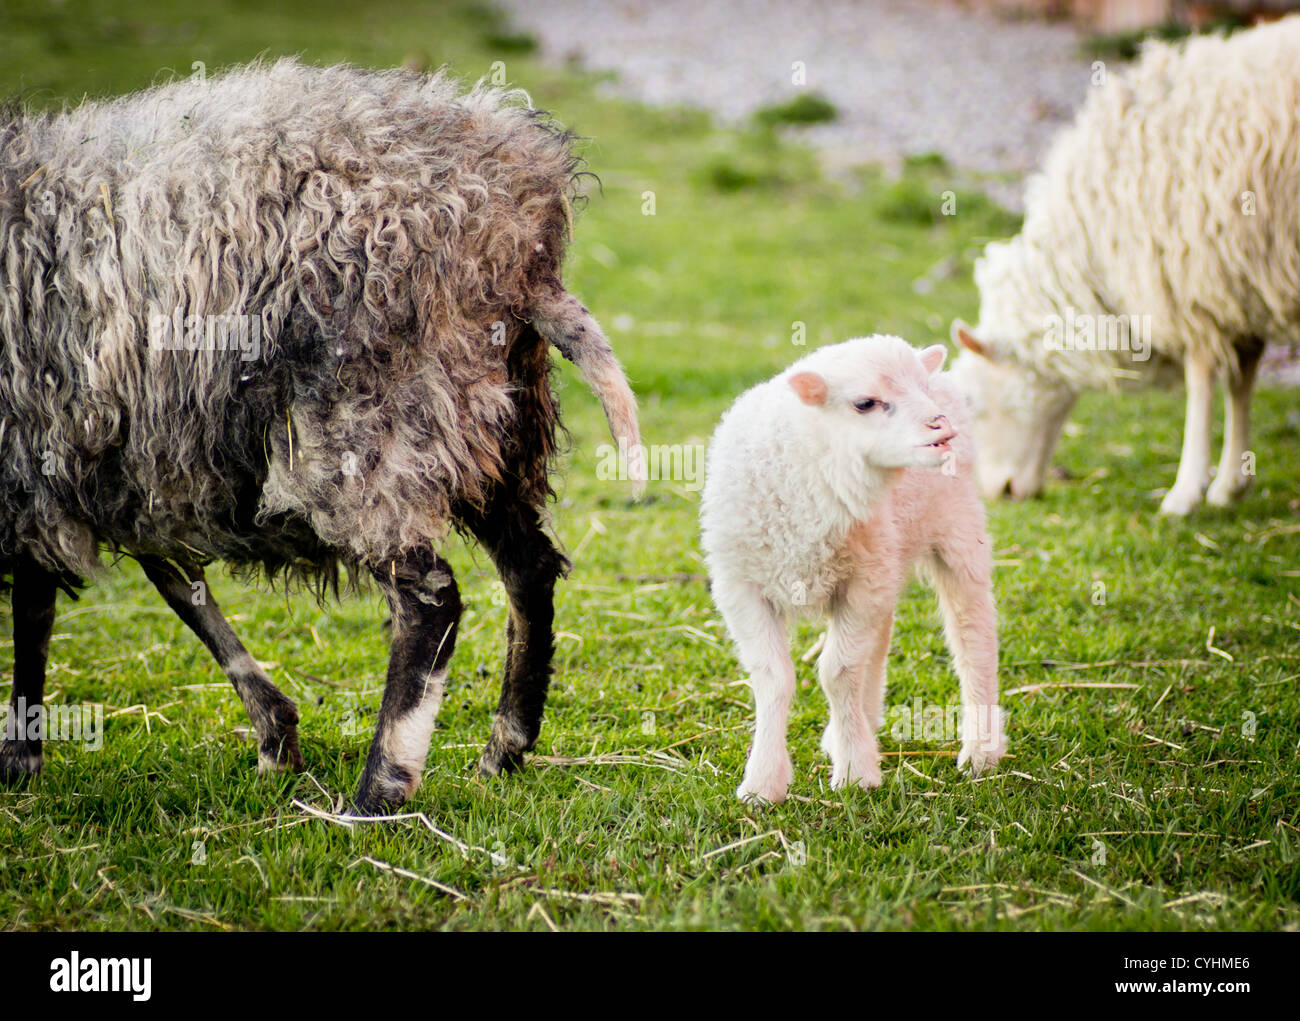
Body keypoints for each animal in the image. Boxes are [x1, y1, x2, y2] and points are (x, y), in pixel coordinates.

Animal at [0, 61, 644, 811]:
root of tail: (517, 230)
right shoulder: (115, 458)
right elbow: (171, 581)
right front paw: (275, 736)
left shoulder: (39, 460)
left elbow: (38, 608)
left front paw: (20, 757)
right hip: (488, 419)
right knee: (530, 568)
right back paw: (502, 751)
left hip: (370, 422)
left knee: (430, 601)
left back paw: (378, 792)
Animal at [702, 330, 1003, 801]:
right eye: (865, 403)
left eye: (921, 388)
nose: (940, 426)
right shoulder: (741, 588)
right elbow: (774, 677)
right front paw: (763, 783)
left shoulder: (861, 586)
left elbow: (837, 673)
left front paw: (855, 773)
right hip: (883, 558)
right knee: (879, 639)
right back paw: (859, 725)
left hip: (955, 529)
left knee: (973, 635)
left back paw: (981, 751)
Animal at [951, 21, 1300, 517]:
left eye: (974, 404)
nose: (999, 492)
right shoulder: (1236, 282)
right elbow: (1242, 378)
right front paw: (1231, 484)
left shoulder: (1190, 274)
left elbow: (1202, 379)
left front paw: (1186, 490)